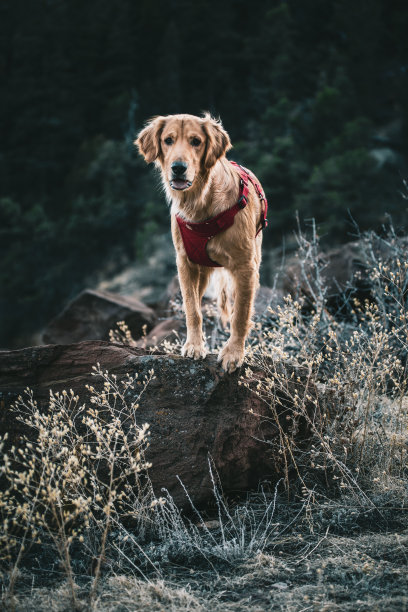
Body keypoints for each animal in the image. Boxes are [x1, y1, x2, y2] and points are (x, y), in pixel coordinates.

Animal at [135, 114, 266, 372]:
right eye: (168, 140)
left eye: (196, 141)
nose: (178, 168)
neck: (200, 203)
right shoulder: (185, 263)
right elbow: (192, 308)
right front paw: (194, 346)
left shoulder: (245, 267)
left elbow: (240, 314)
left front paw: (233, 353)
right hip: (203, 271)